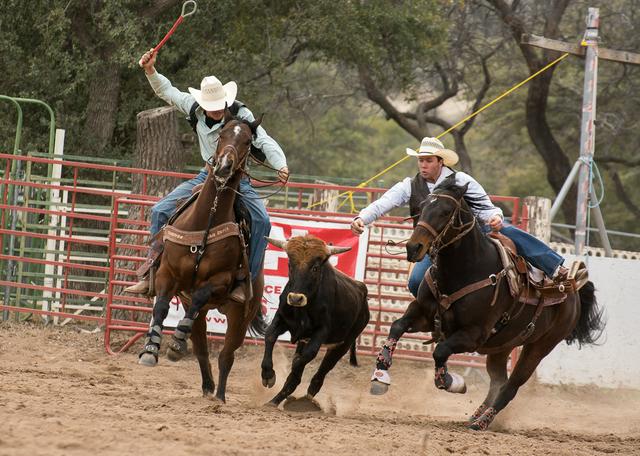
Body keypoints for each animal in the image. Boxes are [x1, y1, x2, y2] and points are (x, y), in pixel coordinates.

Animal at [139, 110, 266, 402]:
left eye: (247, 142)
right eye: (222, 134)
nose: (224, 167)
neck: (205, 222)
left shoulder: (219, 281)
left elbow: (200, 294)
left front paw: (176, 341)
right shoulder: (167, 274)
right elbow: (161, 306)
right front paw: (152, 349)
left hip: (239, 316)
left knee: (226, 355)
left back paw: (218, 396)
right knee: (202, 349)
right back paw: (206, 386)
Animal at [370, 175, 604, 432]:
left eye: (446, 211)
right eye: (421, 208)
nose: (414, 247)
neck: (466, 269)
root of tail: (574, 292)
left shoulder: (473, 334)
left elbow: (440, 351)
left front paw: (451, 381)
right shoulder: (424, 314)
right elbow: (397, 326)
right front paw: (380, 374)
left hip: (539, 347)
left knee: (511, 386)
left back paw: (483, 421)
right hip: (502, 346)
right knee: (499, 381)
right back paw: (476, 415)